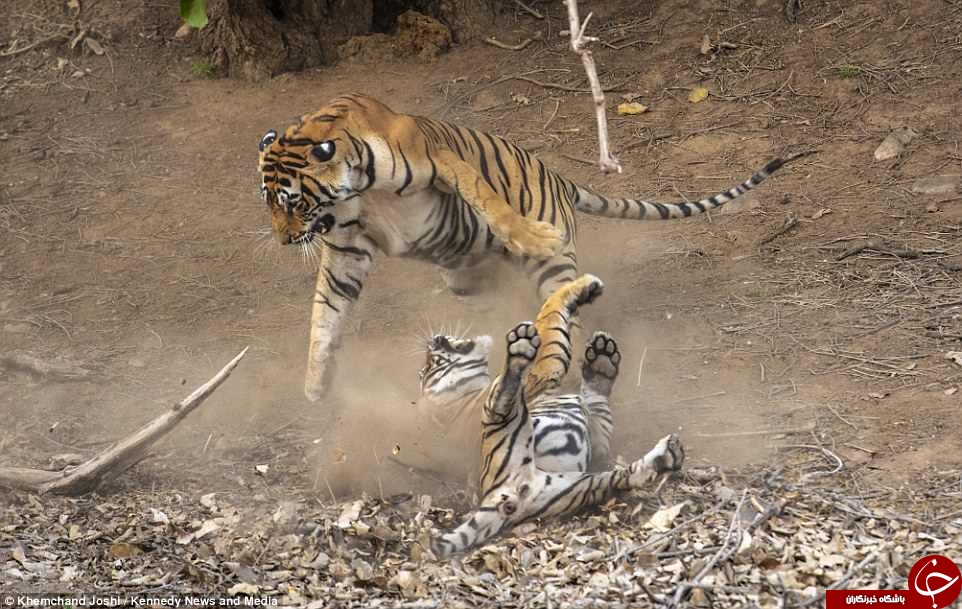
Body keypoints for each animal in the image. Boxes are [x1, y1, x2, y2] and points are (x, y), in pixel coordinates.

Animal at [256, 92, 808, 402]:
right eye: (269, 202)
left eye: (292, 201)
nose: (283, 240)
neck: (354, 187)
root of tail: (564, 181)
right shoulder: (347, 246)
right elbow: (325, 316)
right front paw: (315, 385)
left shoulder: (441, 158)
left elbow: (486, 197)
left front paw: (525, 230)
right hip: (466, 275)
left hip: (552, 268)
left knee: (567, 314)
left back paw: (546, 358)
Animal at [420, 274, 684, 560]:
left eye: (430, 363)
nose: (434, 340)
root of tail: (499, 497)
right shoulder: (545, 368)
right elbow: (550, 314)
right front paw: (585, 287)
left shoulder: (596, 438)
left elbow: (597, 401)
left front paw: (602, 360)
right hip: (508, 422)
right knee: (504, 392)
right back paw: (520, 347)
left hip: (580, 485)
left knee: (627, 477)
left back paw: (666, 455)